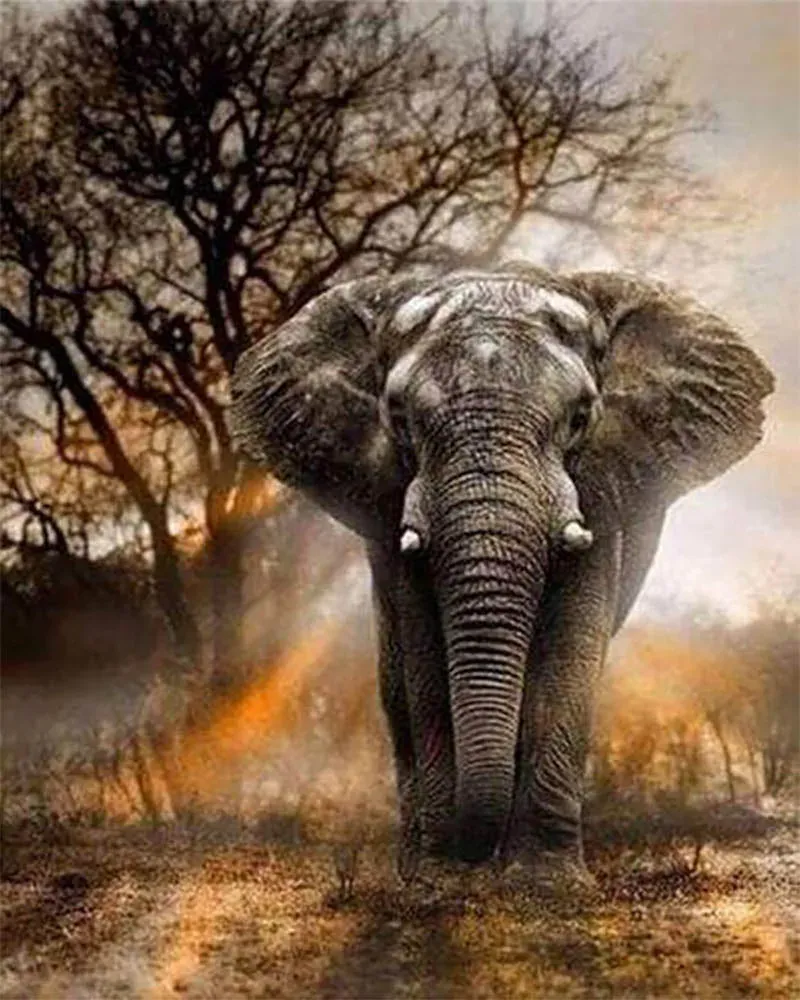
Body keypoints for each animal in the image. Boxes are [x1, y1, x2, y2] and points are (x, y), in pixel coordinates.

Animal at [228, 261, 773, 883]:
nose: (469, 854)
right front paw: (440, 881)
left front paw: (546, 884)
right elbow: (424, 657)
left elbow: (567, 654)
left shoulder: (600, 490)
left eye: (581, 417)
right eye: (399, 420)